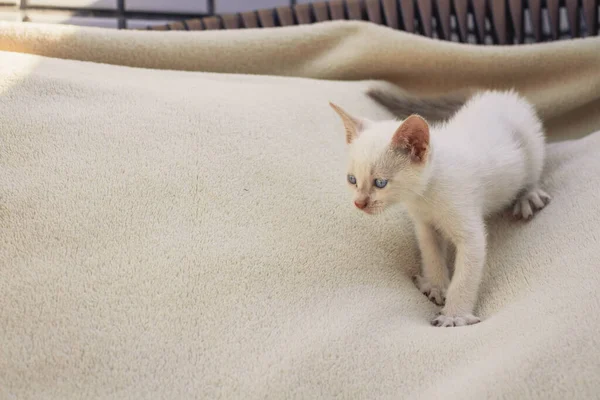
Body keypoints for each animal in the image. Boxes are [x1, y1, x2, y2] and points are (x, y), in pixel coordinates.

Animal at [330, 91, 552, 328]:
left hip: (531, 142)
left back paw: (528, 195)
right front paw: (435, 286)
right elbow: (431, 254)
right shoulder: (424, 224)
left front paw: (454, 316)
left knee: (533, 171)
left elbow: (465, 275)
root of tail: (499, 94)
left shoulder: (468, 226)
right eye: (352, 180)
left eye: (380, 183)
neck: (425, 194)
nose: (359, 203)